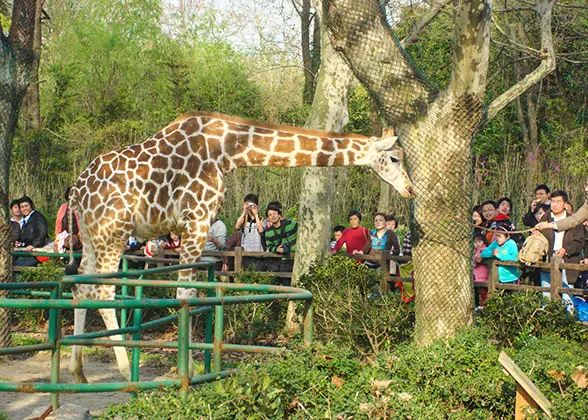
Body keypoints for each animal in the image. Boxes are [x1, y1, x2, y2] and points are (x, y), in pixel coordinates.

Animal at [66, 111, 416, 380]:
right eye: (394, 157)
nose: (410, 189)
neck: (228, 152)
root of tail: (77, 192)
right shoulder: (196, 219)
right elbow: (186, 294)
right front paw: (186, 369)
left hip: (92, 235)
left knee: (80, 285)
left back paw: (77, 370)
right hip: (113, 232)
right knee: (102, 291)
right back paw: (126, 371)